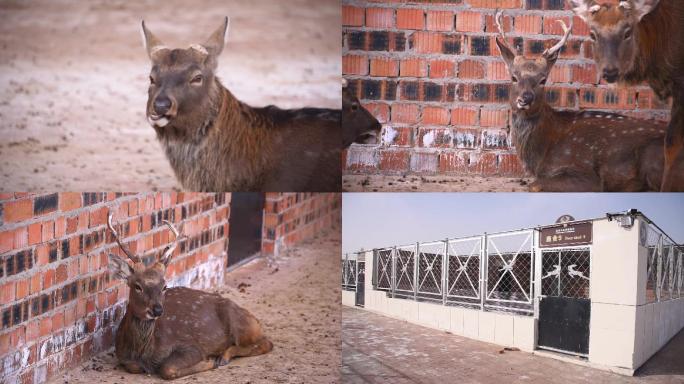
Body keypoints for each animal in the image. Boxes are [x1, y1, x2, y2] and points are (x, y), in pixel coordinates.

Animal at [105, 213, 272, 380]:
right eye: (137, 286)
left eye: (164, 286)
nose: (157, 310)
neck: (143, 352)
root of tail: (256, 321)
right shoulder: (123, 357)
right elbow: (134, 366)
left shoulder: (192, 346)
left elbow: (167, 368)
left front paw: (208, 361)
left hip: (240, 324)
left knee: (266, 343)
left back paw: (221, 358)